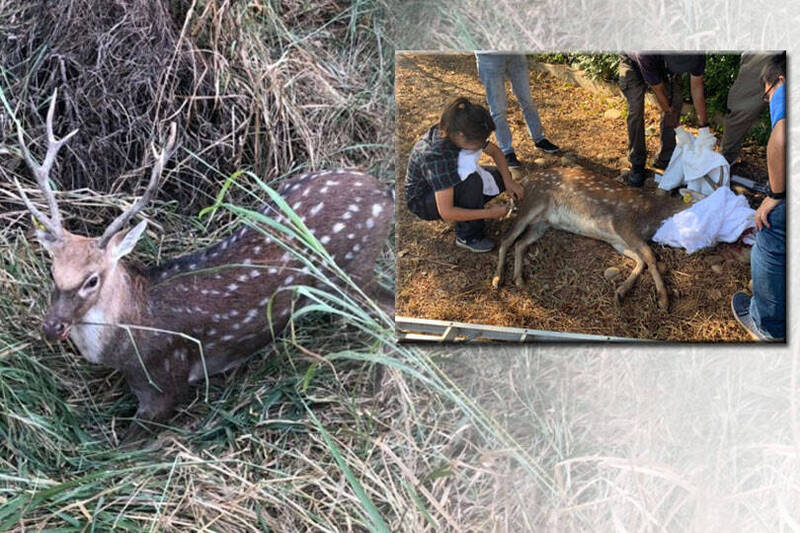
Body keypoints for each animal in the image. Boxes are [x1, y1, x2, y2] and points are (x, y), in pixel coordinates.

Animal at [9, 91, 390, 440]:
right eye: (52, 271)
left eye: (92, 280)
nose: (52, 327)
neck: (126, 336)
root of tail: (383, 191)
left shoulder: (164, 378)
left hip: (355, 268)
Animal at [490, 165, 696, 308]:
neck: (651, 216)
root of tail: (523, 181)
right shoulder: (623, 223)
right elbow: (651, 257)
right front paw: (664, 300)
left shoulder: (618, 241)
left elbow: (641, 260)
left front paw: (620, 292)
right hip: (530, 205)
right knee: (506, 240)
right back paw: (497, 279)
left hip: (541, 224)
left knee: (520, 243)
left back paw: (518, 279)